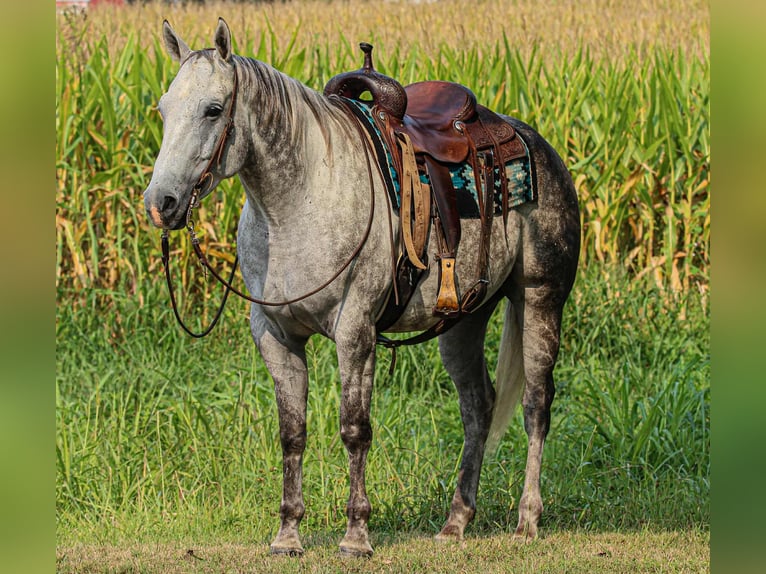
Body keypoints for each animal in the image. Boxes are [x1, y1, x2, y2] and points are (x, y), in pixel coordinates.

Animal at [143, 18, 580, 557]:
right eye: (163, 109)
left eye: (213, 109)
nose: (161, 202)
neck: (301, 200)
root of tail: (536, 144)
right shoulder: (275, 336)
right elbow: (292, 433)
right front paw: (288, 534)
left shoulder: (355, 331)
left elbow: (355, 429)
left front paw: (356, 535)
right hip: (465, 317)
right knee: (478, 406)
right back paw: (456, 520)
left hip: (541, 298)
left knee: (536, 404)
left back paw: (527, 519)